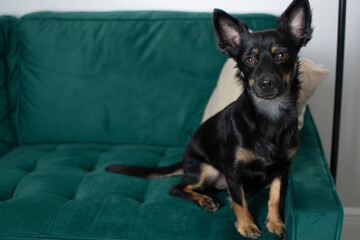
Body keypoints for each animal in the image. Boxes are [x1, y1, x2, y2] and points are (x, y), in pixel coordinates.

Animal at [106, 0, 312, 237]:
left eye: (281, 56)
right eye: (249, 60)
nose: (266, 83)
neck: (270, 115)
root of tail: (185, 162)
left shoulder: (283, 168)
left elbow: (275, 197)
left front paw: (276, 223)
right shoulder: (233, 170)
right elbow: (239, 202)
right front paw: (246, 225)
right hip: (208, 170)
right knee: (178, 188)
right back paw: (205, 200)